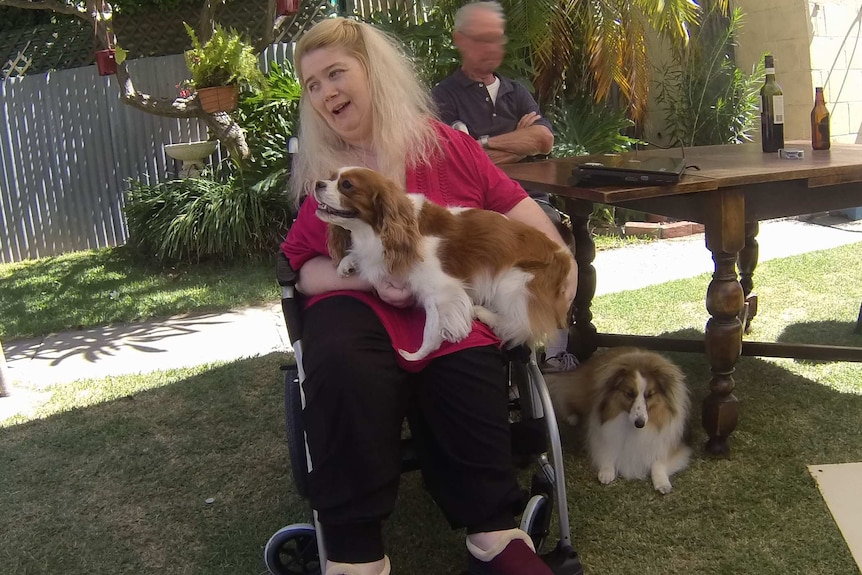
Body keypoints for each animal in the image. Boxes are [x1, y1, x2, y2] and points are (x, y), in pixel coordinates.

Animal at [310, 165, 572, 360]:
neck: (378, 232)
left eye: (346, 185)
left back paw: (483, 313)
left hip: (515, 282)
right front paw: (347, 262)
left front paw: (416, 355)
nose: (317, 183)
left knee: (520, 324)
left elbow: (431, 328)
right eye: (331, 177)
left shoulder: (441, 290)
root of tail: (564, 258)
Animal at [548, 348, 696, 492]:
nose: (640, 423)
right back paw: (572, 417)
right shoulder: (601, 433)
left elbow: (658, 462)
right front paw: (607, 471)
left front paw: (662, 482)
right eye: (629, 393)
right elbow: (607, 449)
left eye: (649, 395)